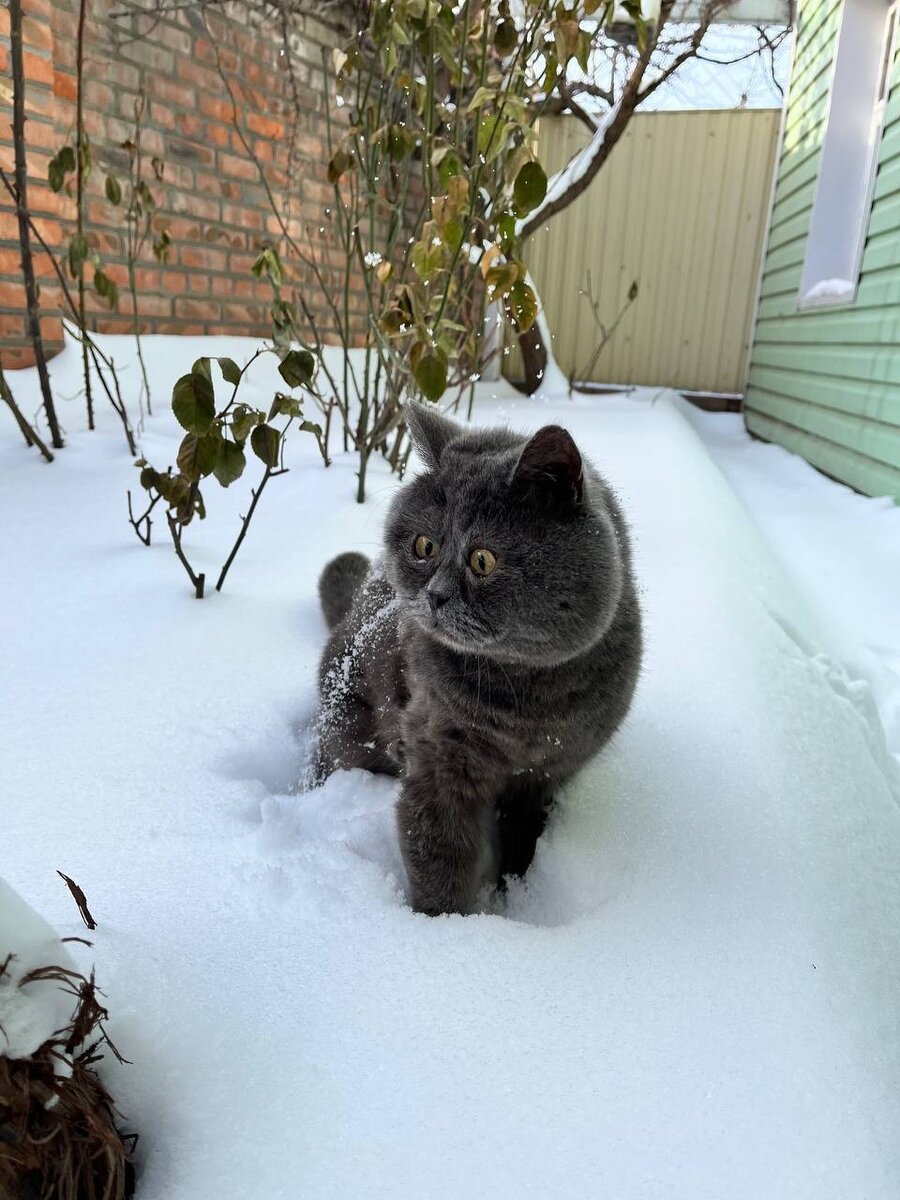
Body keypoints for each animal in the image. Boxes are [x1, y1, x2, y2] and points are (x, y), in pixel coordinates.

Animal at [314, 398, 643, 912]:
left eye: (482, 559)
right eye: (425, 546)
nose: (434, 595)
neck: (528, 702)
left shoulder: (547, 778)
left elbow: (524, 841)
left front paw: (515, 896)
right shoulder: (437, 757)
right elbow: (438, 850)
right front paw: (445, 922)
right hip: (346, 725)